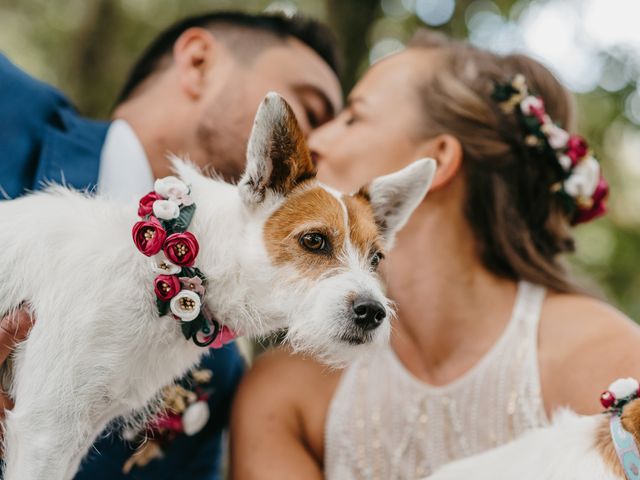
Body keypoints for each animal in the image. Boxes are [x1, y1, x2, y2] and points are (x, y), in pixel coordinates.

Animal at [0, 92, 438, 478]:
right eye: (314, 241)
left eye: (376, 259)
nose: (373, 312)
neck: (170, 271)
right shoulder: (46, 428)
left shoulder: (69, 434)